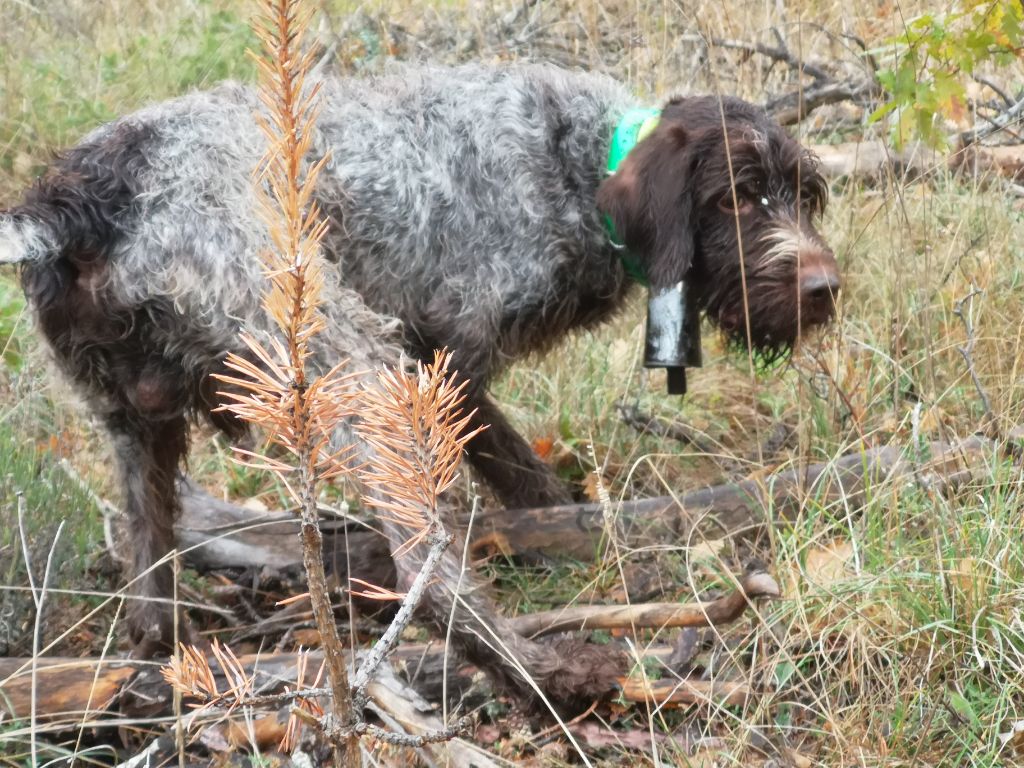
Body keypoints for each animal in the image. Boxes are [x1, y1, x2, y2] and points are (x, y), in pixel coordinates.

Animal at [0, 63, 839, 708]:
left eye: (802, 193)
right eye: (734, 196)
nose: (824, 288)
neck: (575, 161)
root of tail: (86, 194)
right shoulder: (446, 351)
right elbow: (515, 470)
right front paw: (582, 545)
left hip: (139, 422)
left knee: (147, 580)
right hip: (350, 362)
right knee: (425, 580)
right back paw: (552, 675)